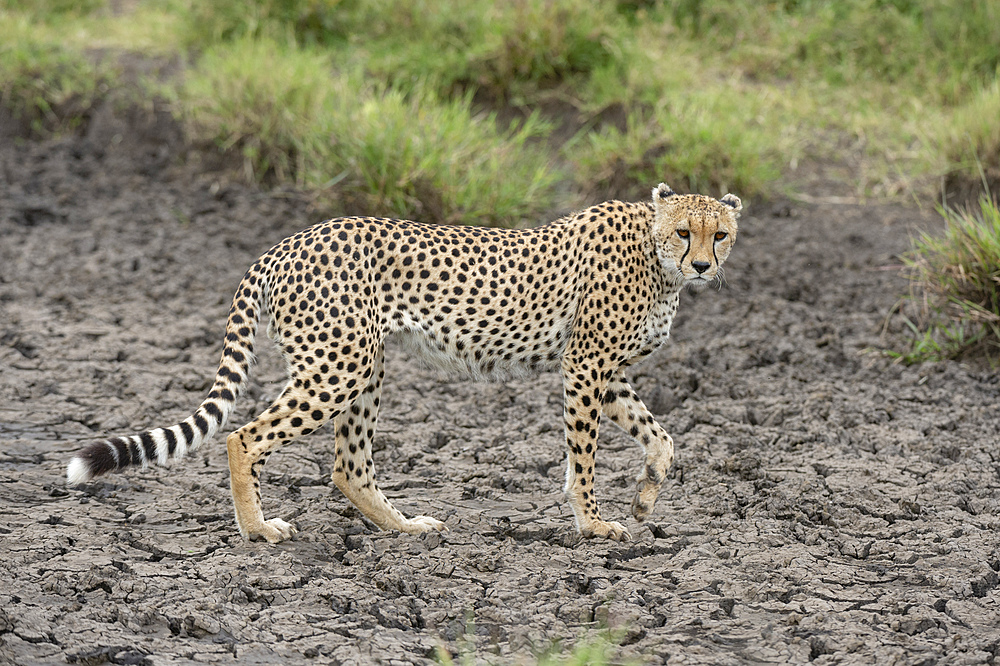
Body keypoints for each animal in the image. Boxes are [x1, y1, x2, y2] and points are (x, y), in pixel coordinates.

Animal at [66, 182, 740, 540]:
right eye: (685, 232)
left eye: (721, 234)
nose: (704, 264)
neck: (656, 257)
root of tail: (286, 242)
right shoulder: (586, 367)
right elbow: (584, 458)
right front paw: (594, 523)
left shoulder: (608, 373)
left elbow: (663, 438)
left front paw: (645, 499)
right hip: (337, 365)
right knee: (243, 436)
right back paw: (258, 529)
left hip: (362, 365)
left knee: (347, 467)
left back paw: (402, 528)